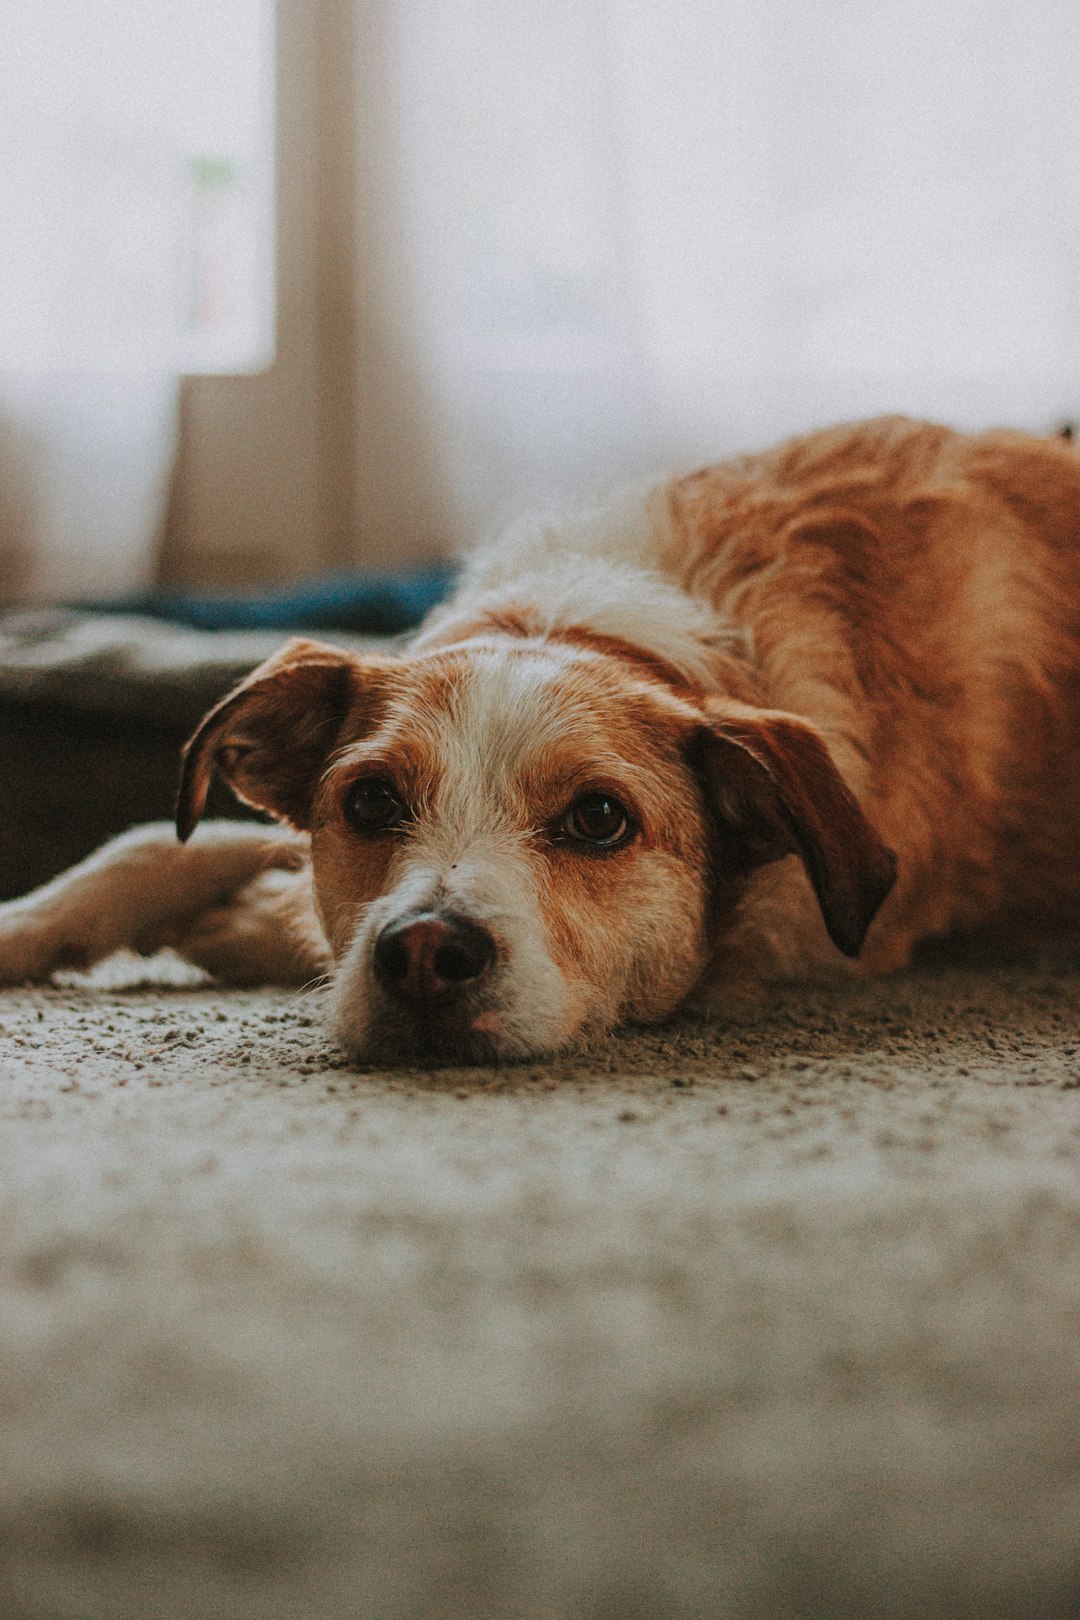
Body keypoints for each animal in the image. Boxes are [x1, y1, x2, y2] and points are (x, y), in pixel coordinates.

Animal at [2, 414, 1080, 1062]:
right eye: (371, 801)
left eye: (600, 820)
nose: (425, 954)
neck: (575, 622)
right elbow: (162, 840)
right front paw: (30, 923)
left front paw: (242, 923)